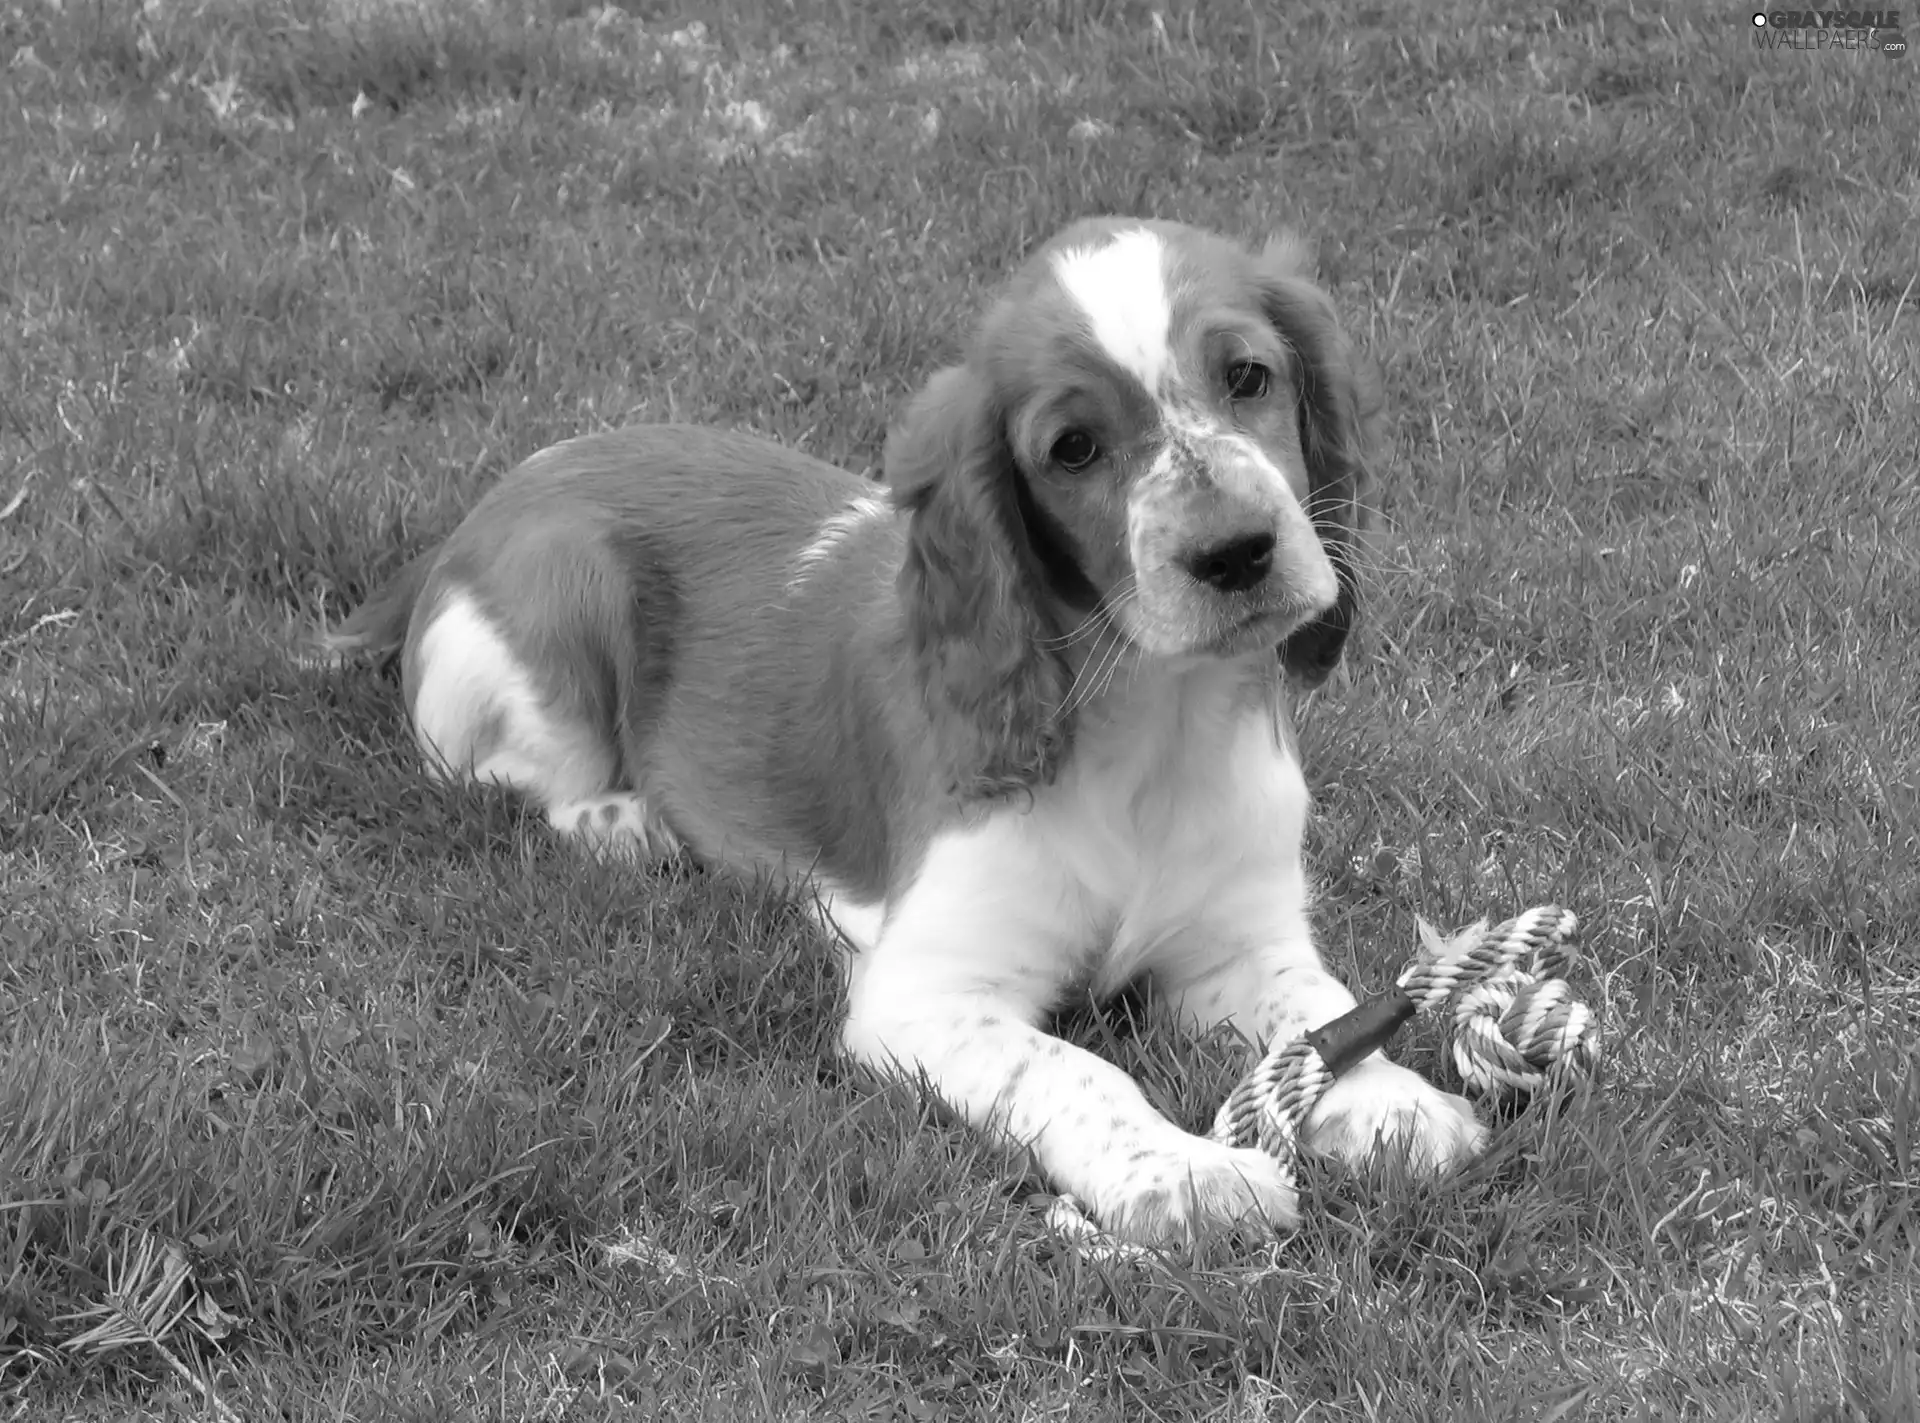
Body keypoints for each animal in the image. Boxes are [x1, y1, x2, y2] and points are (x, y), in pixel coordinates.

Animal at [326, 216, 1482, 1236]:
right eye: (1073, 448)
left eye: (1247, 376)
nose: (1237, 551)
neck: (1157, 720)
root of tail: (480, 513)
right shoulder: (926, 994)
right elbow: (1072, 1068)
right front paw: (1183, 1175)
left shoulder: (1239, 940)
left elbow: (1321, 1010)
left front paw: (1392, 1100)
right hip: (564, 595)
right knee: (495, 780)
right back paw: (627, 824)